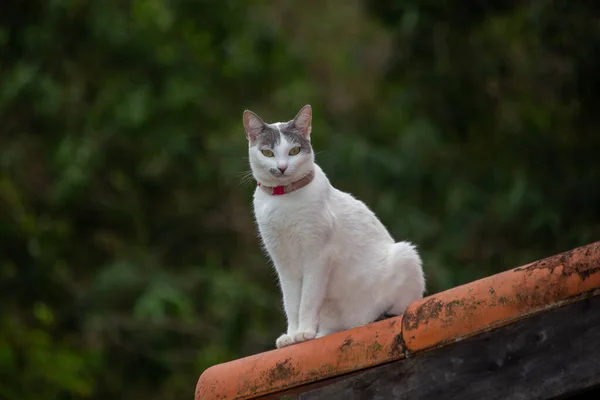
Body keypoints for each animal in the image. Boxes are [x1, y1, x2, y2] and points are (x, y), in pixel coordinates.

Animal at [241, 104, 424, 348]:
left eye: (294, 151)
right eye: (268, 153)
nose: (281, 168)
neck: (283, 201)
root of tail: (352, 323)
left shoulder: (317, 256)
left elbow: (307, 299)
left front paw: (304, 332)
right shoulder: (283, 262)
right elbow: (291, 302)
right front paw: (291, 334)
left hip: (405, 255)